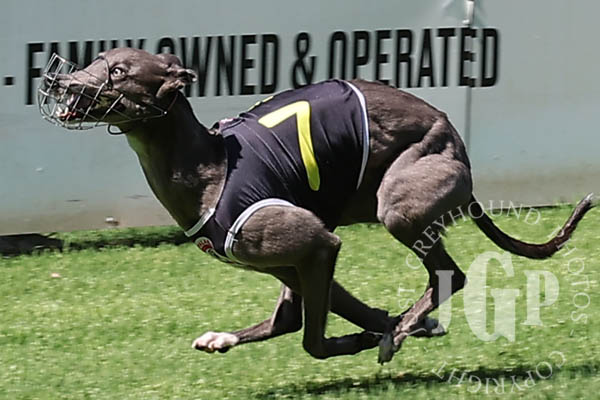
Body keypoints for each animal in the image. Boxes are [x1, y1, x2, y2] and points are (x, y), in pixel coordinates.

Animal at [38, 48, 594, 363]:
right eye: (96, 59)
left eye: (117, 71)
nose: (56, 82)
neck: (210, 166)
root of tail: (459, 148)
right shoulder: (295, 263)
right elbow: (318, 317)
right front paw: (397, 326)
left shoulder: (318, 244)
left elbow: (314, 341)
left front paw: (389, 335)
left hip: (399, 202)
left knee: (449, 274)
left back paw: (402, 331)